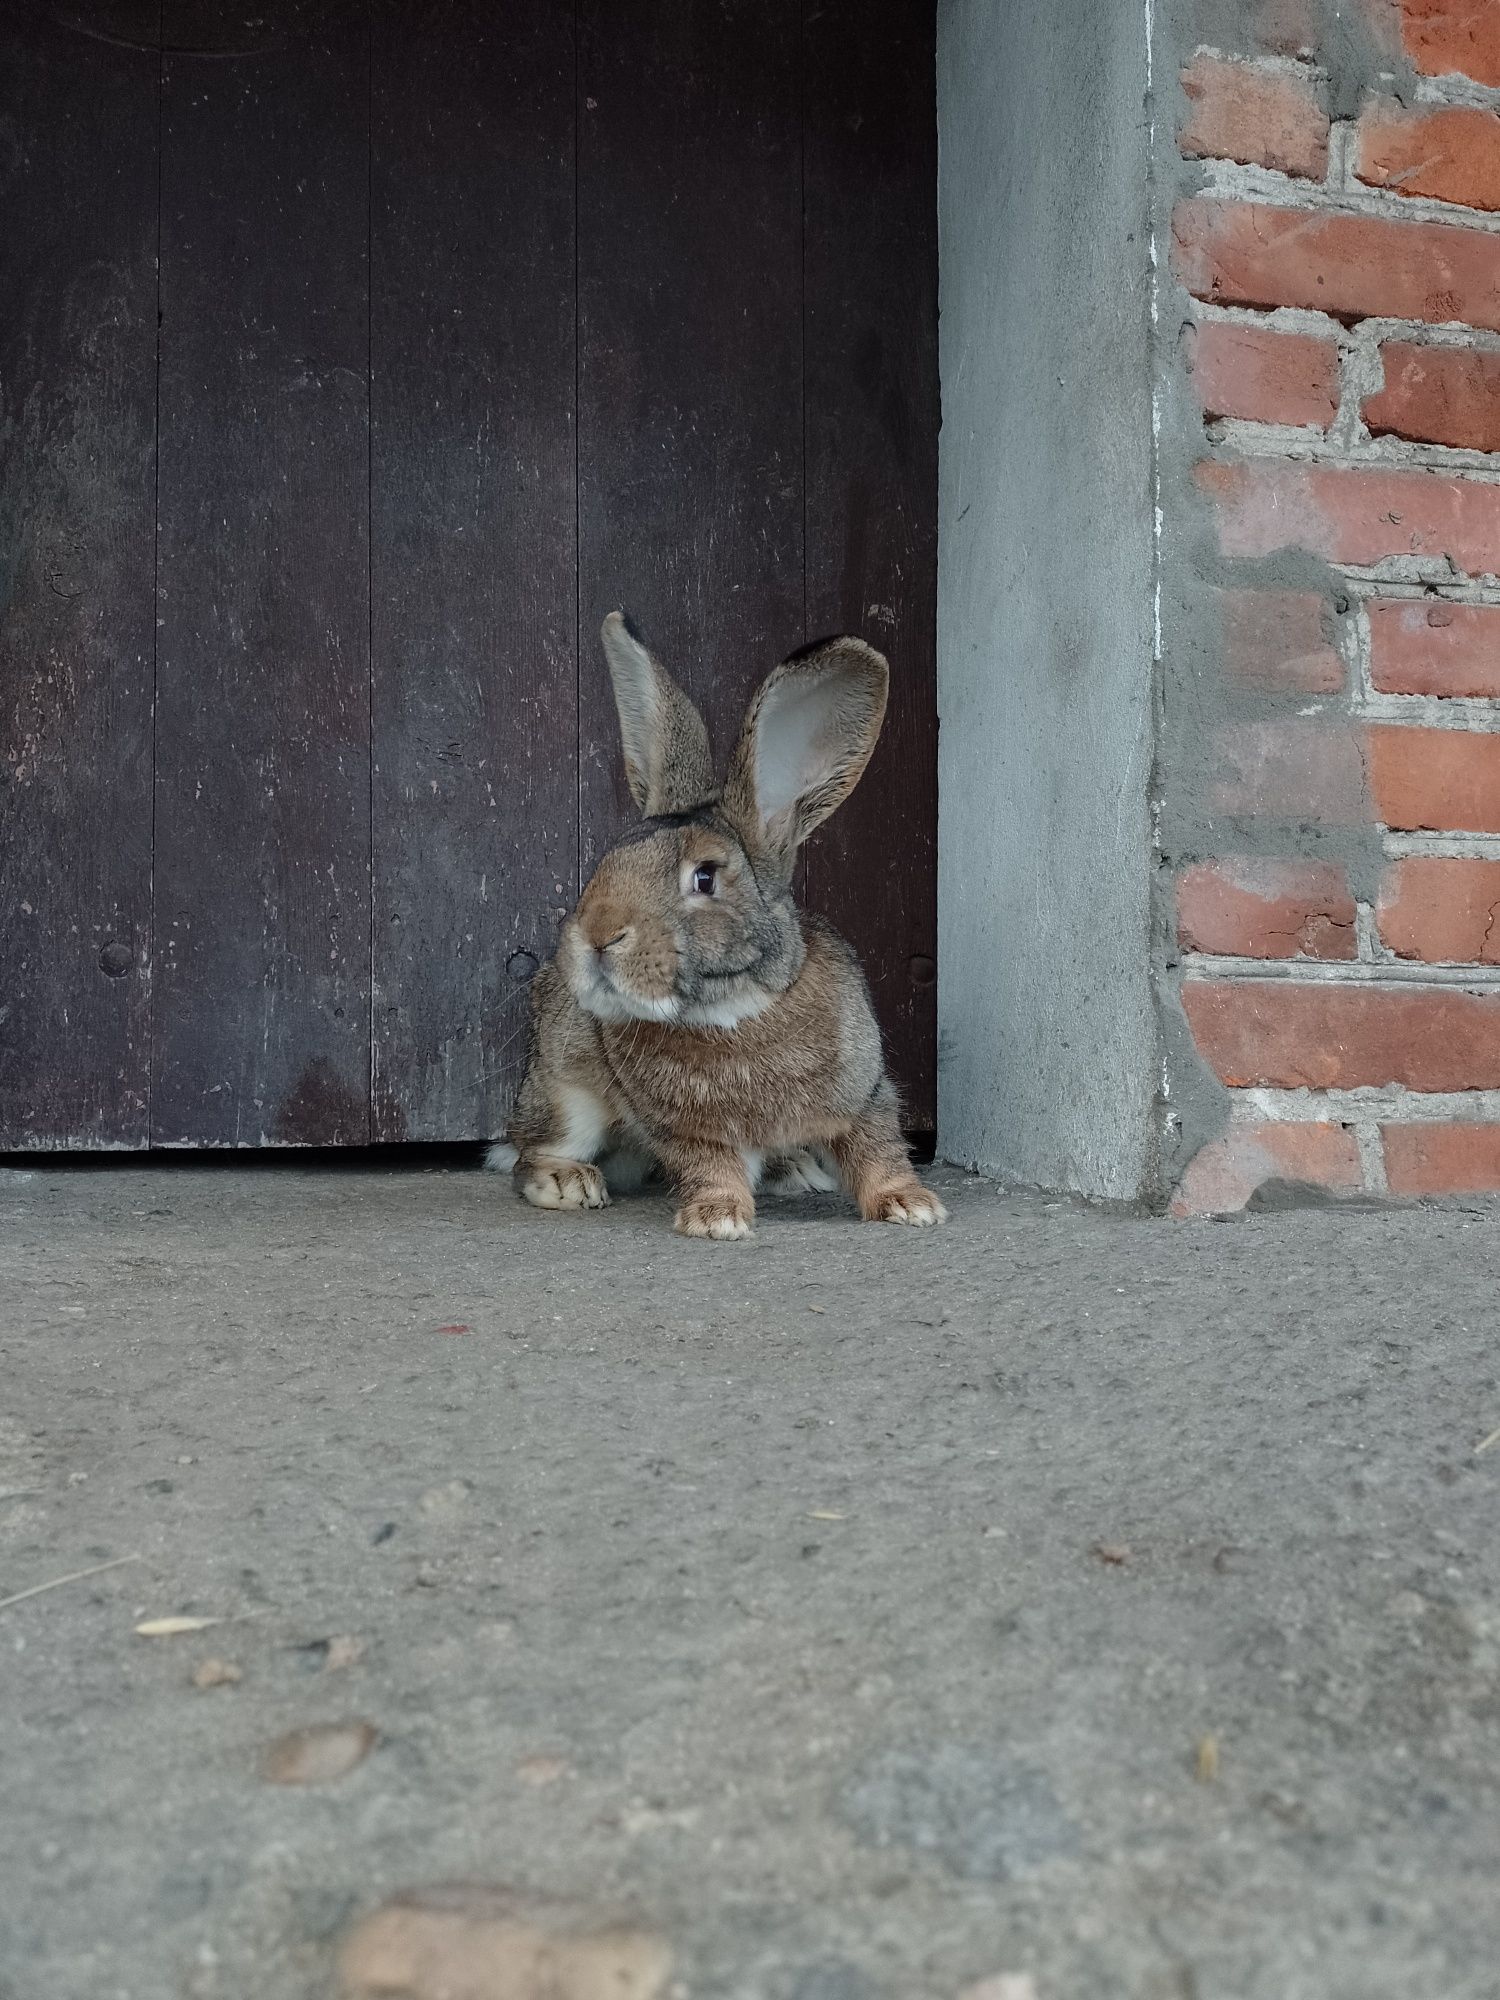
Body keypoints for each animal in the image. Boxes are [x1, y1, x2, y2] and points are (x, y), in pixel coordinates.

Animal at [488, 608, 944, 1240]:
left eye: (704, 878)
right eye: (607, 861)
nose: (597, 936)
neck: (738, 1008)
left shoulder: (865, 1095)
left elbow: (878, 1149)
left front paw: (911, 1205)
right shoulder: (688, 1131)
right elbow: (710, 1167)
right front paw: (716, 1219)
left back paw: (795, 1171)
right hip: (566, 1085)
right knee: (532, 1149)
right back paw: (568, 1182)